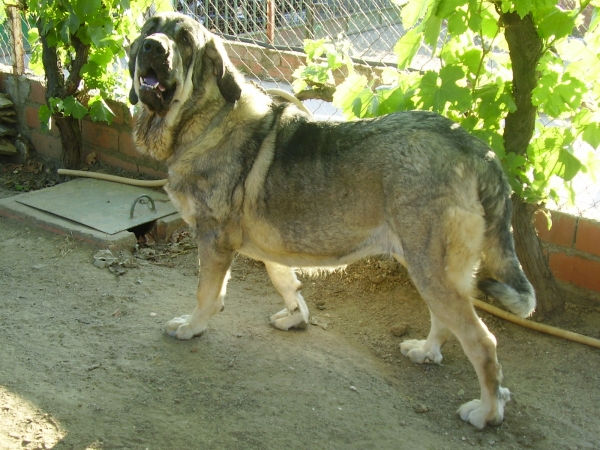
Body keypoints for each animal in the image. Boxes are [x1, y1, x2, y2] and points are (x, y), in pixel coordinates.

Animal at [126, 12, 536, 430]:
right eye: (150, 27)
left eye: (185, 40)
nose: (153, 48)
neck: (205, 116)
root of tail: (476, 149)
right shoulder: (271, 245)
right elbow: (285, 282)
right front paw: (297, 317)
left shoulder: (214, 239)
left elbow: (207, 295)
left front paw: (192, 327)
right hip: (426, 264)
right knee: (445, 321)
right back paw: (426, 351)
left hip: (430, 267)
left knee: (482, 343)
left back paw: (487, 411)